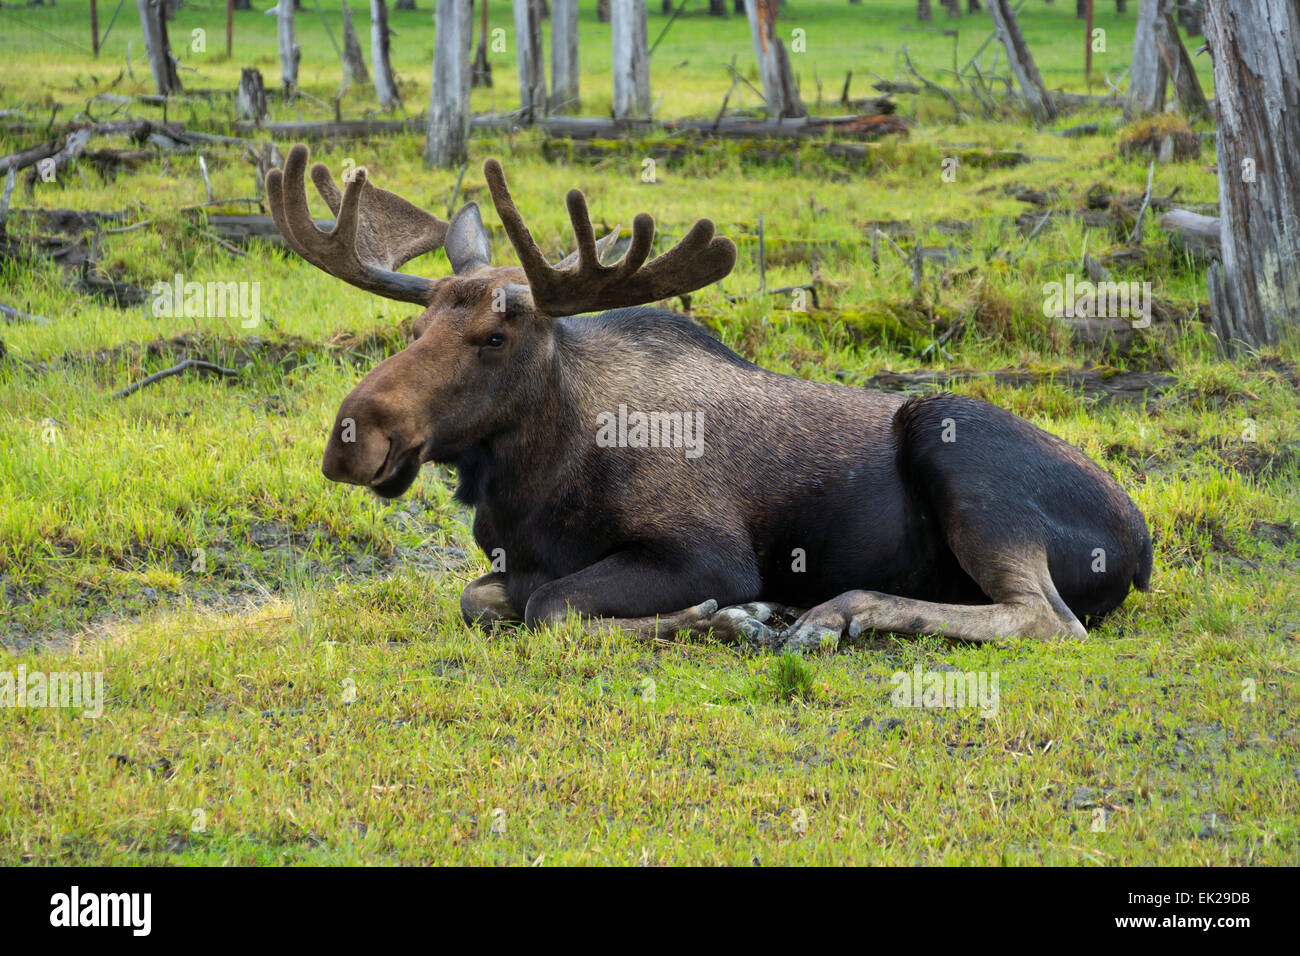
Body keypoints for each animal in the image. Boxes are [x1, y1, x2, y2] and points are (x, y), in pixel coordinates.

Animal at [263, 145, 1149, 655]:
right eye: (416, 326)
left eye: (494, 338)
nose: (353, 436)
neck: (530, 486)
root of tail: (1140, 552)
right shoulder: (506, 565)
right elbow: (479, 599)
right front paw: (735, 617)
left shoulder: (706, 551)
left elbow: (552, 607)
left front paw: (733, 616)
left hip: (952, 438)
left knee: (1047, 617)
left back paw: (831, 614)